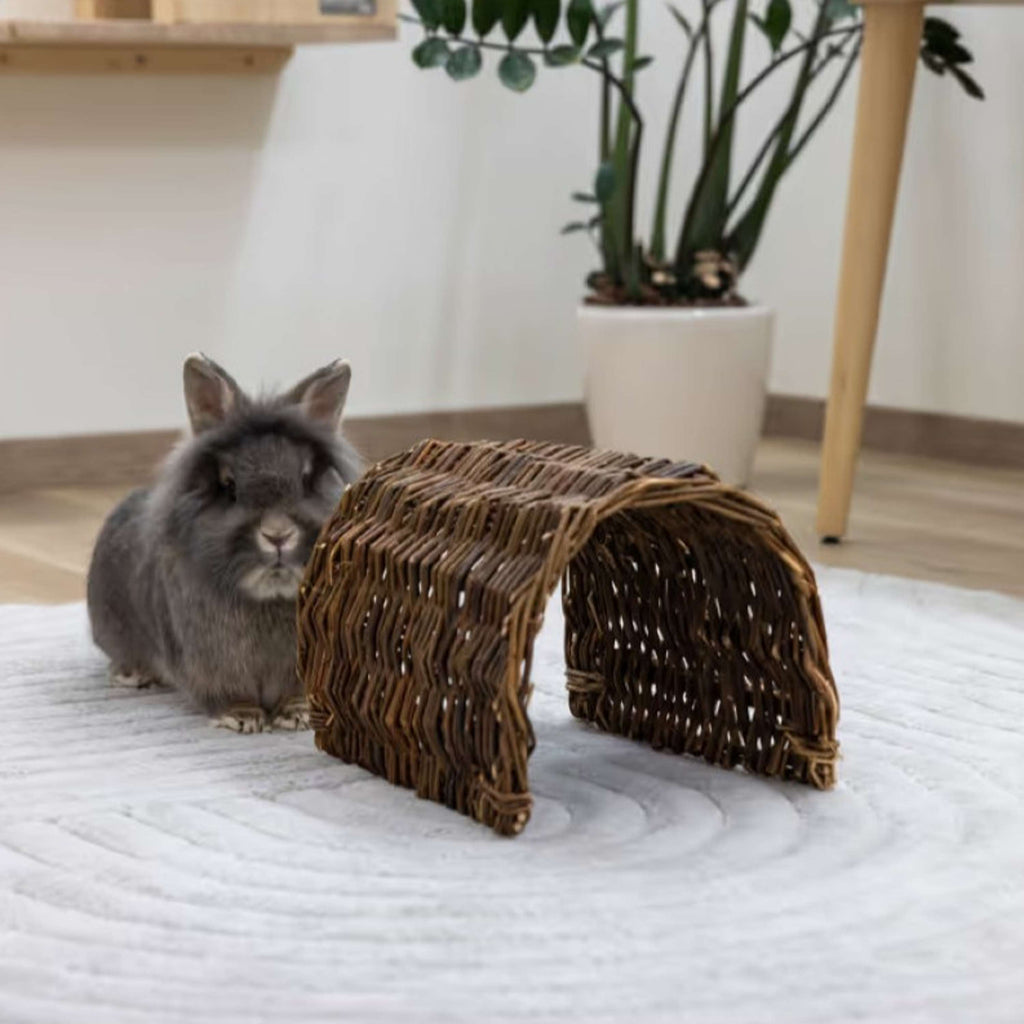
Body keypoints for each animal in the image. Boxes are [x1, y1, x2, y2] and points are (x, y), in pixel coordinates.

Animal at [87, 353, 363, 734]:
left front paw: (298, 715)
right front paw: (241, 717)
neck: (267, 599)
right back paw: (133, 675)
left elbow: (293, 694)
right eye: (229, 486)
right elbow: (228, 696)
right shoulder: (209, 668)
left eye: (307, 479)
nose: (278, 535)